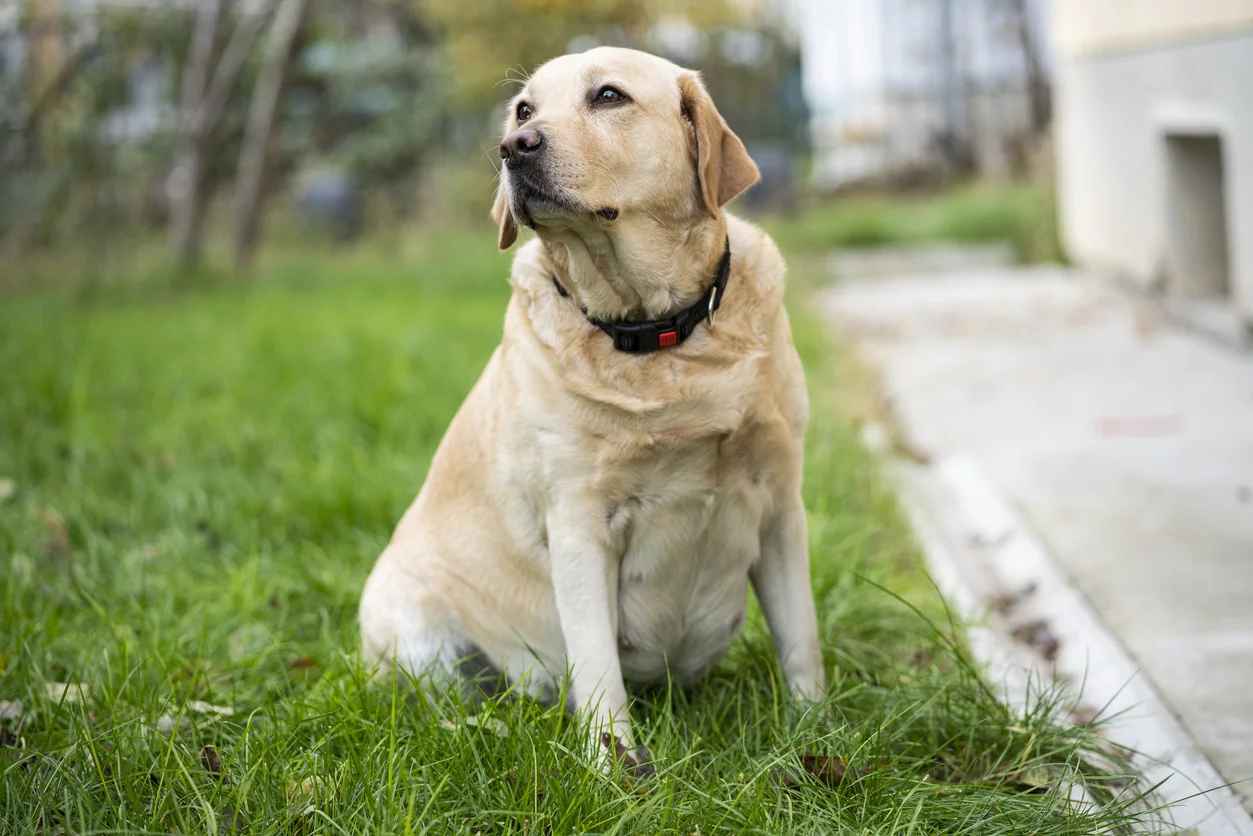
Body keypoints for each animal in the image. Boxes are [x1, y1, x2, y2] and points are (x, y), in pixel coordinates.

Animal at [360, 47, 821, 772]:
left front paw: (816, 735)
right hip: (412, 627)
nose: (513, 146)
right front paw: (614, 770)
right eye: (524, 109)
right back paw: (493, 727)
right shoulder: (578, 524)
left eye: (608, 96)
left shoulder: (780, 504)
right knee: (442, 710)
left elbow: (801, 637)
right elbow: (600, 669)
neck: (656, 332)